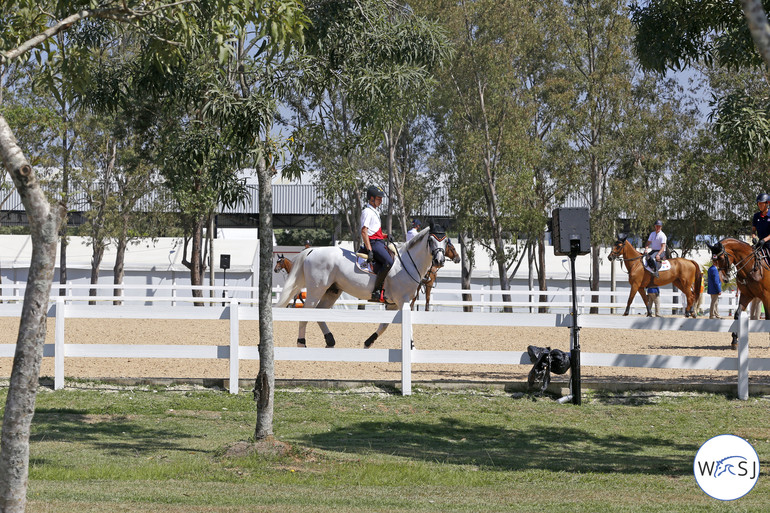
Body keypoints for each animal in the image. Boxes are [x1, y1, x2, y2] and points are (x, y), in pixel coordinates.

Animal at [276, 224, 448, 348]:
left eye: (446, 241)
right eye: (431, 240)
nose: (439, 261)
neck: (406, 264)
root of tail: (313, 251)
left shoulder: (393, 303)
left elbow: (384, 325)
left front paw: (368, 342)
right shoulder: (402, 301)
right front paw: (411, 345)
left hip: (332, 291)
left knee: (319, 312)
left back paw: (330, 340)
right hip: (316, 289)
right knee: (307, 312)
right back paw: (302, 342)